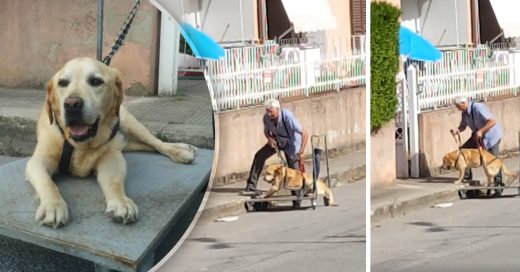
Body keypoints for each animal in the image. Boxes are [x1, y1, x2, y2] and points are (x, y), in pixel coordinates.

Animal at [24, 58, 196, 228]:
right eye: (62, 83)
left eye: (95, 81)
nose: (72, 104)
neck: (81, 145)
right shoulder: (38, 161)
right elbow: (47, 182)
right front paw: (53, 206)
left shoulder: (111, 158)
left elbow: (114, 183)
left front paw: (121, 202)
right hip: (128, 141)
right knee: (147, 146)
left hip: (132, 125)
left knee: (157, 143)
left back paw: (182, 150)